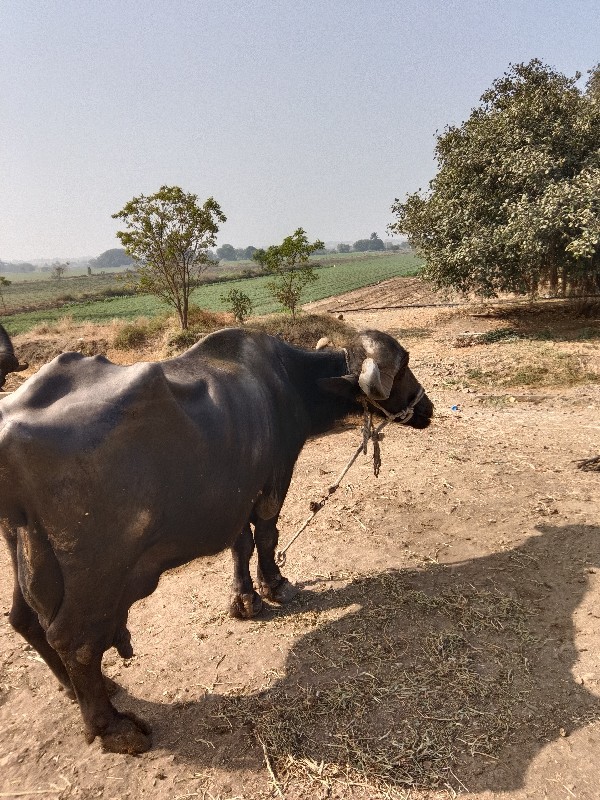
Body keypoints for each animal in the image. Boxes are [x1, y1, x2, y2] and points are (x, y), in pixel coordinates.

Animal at [0, 324, 432, 752]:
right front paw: (275, 586)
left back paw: (86, 688)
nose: (427, 408)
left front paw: (244, 599)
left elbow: (240, 545)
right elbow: (267, 538)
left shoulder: (238, 491)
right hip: (98, 576)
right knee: (76, 642)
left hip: (22, 547)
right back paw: (116, 728)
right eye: (403, 369)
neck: (289, 381)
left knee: (27, 622)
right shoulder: (273, 483)